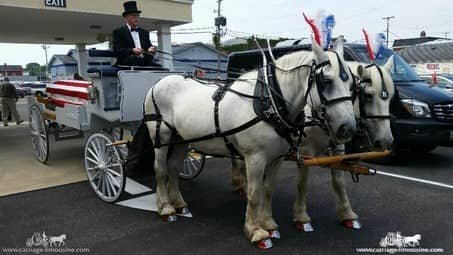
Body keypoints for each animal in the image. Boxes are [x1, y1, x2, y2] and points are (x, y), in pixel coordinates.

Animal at [143, 36, 354, 246]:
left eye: (352, 82)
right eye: (326, 80)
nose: (348, 128)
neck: (269, 102)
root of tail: (159, 82)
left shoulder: (277, 157)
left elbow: (268, 189)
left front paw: (268, 223)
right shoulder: (255, 157)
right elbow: (254, 193)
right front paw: (256, 231)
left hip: (180, 139)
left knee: (173, 168)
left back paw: (179, 203)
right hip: (161, 138)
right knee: (161, 170)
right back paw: (166, 208)